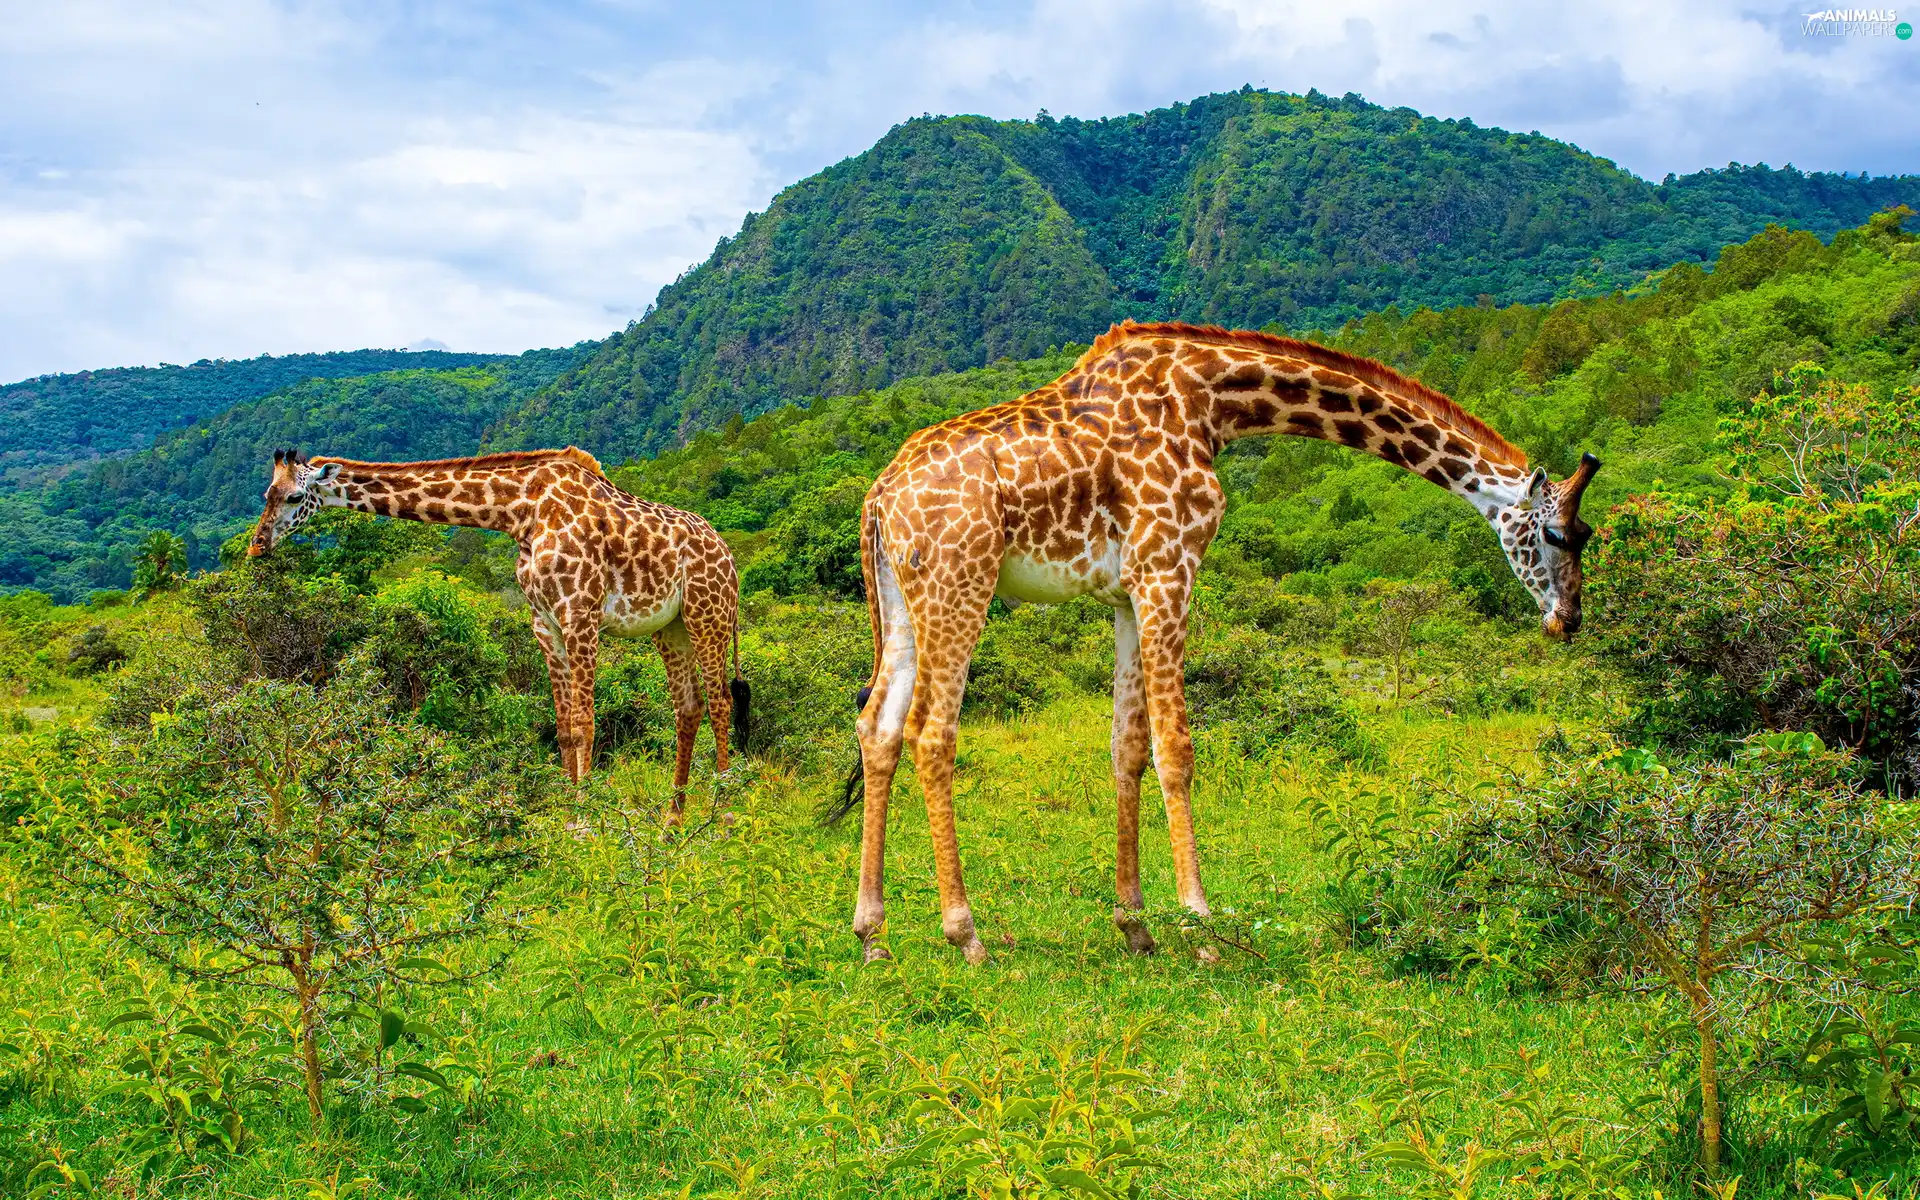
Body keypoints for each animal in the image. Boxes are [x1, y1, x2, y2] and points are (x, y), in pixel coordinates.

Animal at [253, 445, 756, 810]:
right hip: (670, 627)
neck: (521, 510)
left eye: (295, 497)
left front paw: (587, 820)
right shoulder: (545, 623)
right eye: (266, 495)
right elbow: (564, 726)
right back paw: (673, 821)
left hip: (708, 615)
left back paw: (723, 812)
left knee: (720, 703)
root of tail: (730, 558)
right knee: (688, 708)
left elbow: (585, 722)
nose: (257, 546)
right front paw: (568, 816)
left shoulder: (581, 613)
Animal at [840, 322, 1605, 960]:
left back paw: (873, 933)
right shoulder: (1169, 565)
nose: (1567, 619)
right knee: (932, 732)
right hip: (960, 580)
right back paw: (965, 934)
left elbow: (1127, 748)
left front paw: (1137, 927)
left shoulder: (1127, 590)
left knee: (878, 726)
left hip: (904, 599)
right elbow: (1176, 750)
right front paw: (1201, 925)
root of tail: (879, 497)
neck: (1213, 400)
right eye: (1558, 533)